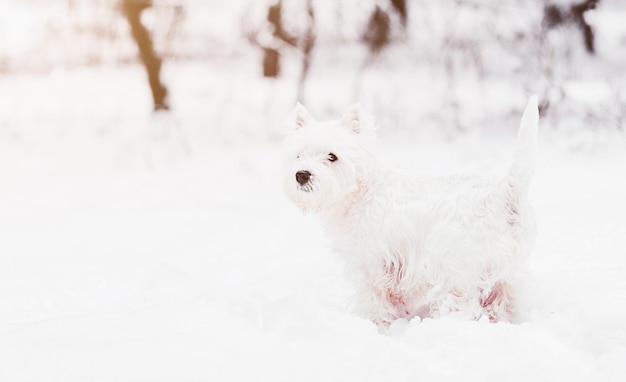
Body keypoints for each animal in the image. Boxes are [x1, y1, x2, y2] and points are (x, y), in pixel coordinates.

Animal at [282, 97, 536, 326]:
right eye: (299, 155)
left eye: (332, 156)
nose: (302, 175)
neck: (362, 193)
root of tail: (504, 194)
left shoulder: (371, 264)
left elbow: (375, 300)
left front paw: (377, 324)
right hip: (504, 276)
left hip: (456, 270)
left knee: (462, 307)